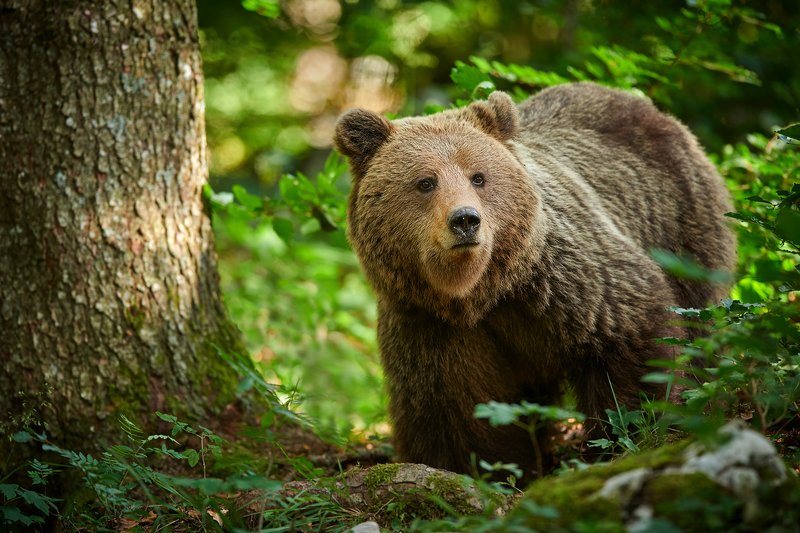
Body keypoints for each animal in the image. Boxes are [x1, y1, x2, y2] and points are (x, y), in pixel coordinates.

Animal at [333, 82, 737, 479]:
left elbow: (632, 340)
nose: (465, 220)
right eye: (425, 182)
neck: (482, 293)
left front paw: (630, 434)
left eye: (478, 176)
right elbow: (460, 415)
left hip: (681, 230)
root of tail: (646, 105)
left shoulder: (565, 283)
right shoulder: (430, 328)